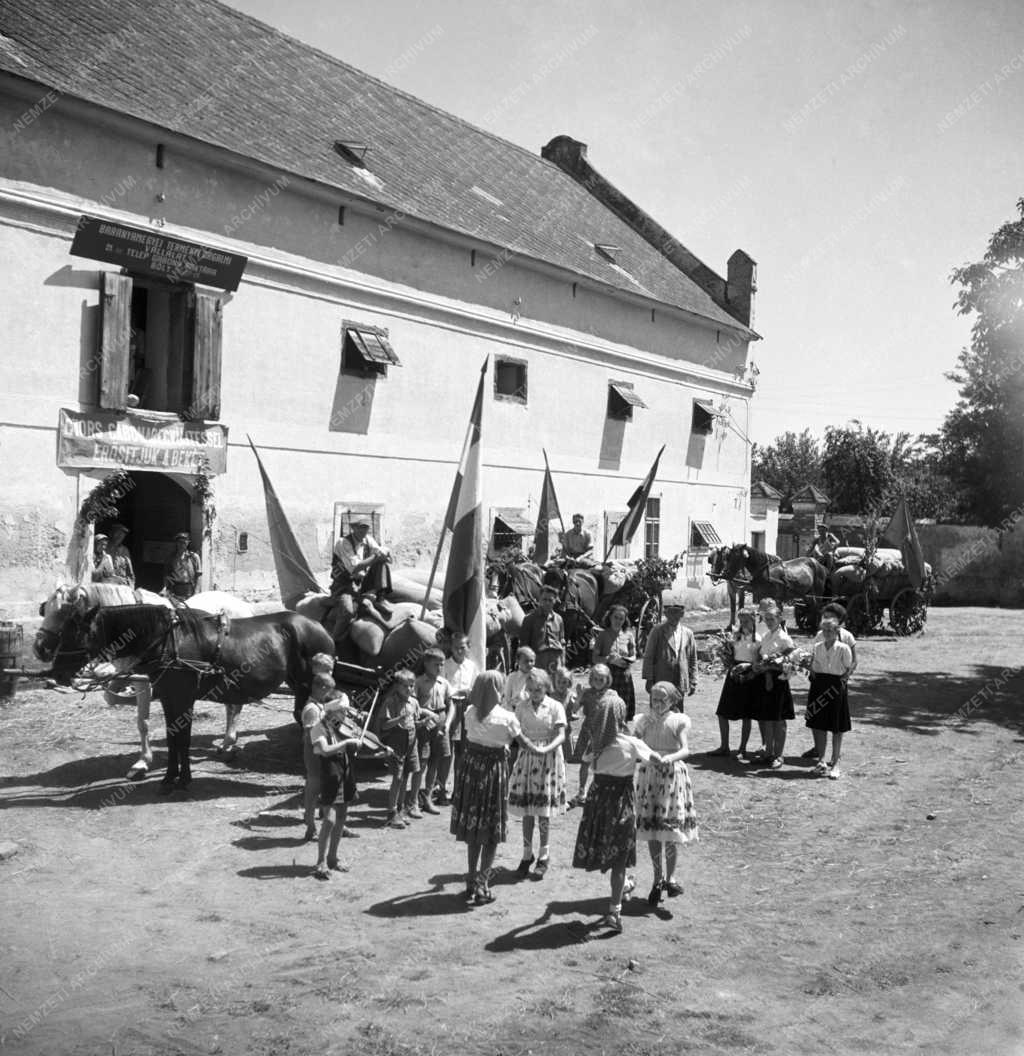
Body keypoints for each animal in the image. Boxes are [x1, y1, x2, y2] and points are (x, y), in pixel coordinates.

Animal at [35, 578, 255, 777]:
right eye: (45, 609)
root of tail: (243, 605)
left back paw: (228, 743)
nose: (39, 649)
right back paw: (228, 741)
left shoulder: (145, 682)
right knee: (230, 704)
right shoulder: (127, 674)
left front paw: (143, 762)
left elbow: (143, 721)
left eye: (64, 613)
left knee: (235, 706)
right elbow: (111, 697)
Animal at [57, 604, 331, 794]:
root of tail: (318, 627)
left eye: (76, 634)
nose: (57, 671)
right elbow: (173, 739)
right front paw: (173, 778)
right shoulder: (170, 698)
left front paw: (179, 779)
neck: (168, 642)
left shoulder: (183, 698)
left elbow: (183, 740)